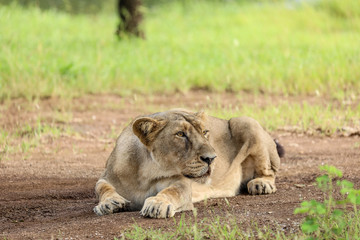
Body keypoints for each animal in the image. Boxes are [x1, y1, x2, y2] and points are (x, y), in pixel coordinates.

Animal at [93, 109, 284, 218]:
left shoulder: (182, 184)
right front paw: (108, 203)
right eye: (180, 134)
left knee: (269, 171)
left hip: (245, 121)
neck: (146, 174)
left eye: (205, 132)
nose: (212, 158)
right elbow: (102, 188)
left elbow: (171, 192)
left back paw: (261, 184)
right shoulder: (107, 177)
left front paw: (157, 204)